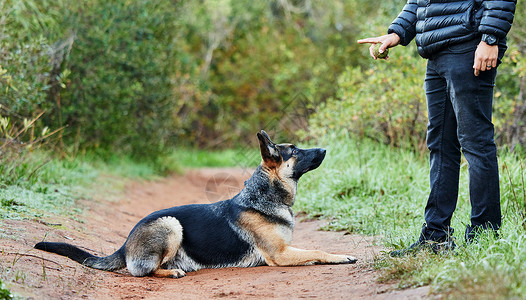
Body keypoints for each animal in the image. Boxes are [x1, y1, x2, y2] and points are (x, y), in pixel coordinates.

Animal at [35, 130, 358, 278]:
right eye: (295, 151)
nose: (324, 149)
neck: (264, 196)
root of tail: (125, 244)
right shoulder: (279, 254)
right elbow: (317, 250)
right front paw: (342, 257)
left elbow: (314, 249)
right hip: (170, 225)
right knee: (141, 270)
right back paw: (171, 272)